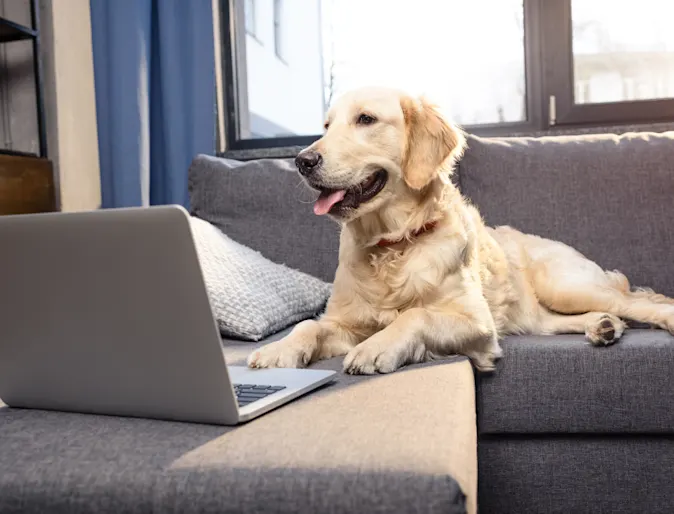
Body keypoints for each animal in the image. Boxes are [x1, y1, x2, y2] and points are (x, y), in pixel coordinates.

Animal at [247, 85, 672, 372]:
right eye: (326, 125)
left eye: (365, 119)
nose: (303, 161)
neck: (392, 245)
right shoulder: (344, 322)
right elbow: (309, 324)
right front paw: (278, 350)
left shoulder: (477, 323)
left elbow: (415, 315)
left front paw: (375, 348)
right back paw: (603, 326)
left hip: (566, 286)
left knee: (642, 303)